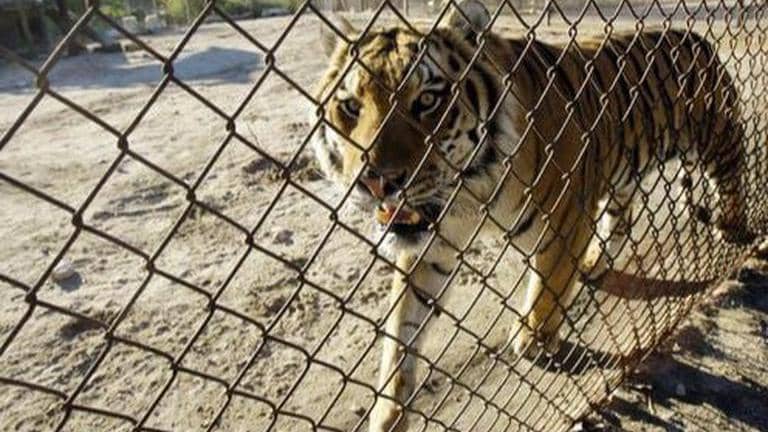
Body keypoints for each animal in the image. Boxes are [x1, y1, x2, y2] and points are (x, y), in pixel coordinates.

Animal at [308, 1, 753, 430]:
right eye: (351, 106)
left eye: (428, 101)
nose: (376, 183)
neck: (468, 190)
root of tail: (699, 38)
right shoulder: (433, 244)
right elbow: (402, 331)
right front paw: (389, 412)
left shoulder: (566, 216)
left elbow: (548, 286)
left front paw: (534, 340)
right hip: (621, 177)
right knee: (621, 221)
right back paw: (594, 264)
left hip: (718, 139)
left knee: (734, 179)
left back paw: (733, 230)